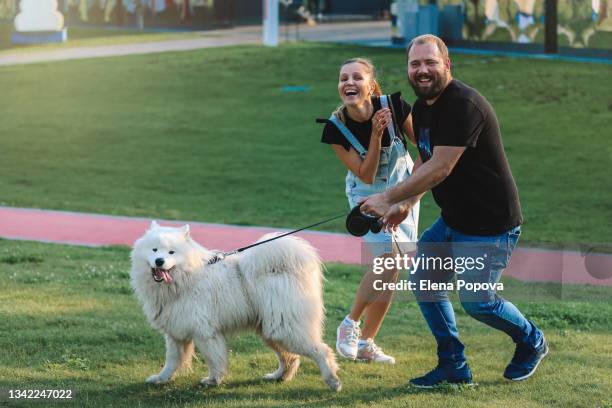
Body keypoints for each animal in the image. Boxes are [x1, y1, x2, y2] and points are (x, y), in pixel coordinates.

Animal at [130, 222, 340, 390]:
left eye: (171, 252)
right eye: (154, 250)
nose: (159, 261)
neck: (187, 279)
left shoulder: (206, 333)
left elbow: (215, 360)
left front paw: (213, 380)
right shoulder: (176, 332)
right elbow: (172, 361)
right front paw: (161, 378)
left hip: (286, 329)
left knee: (321, 351)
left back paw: (333, 381)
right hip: (271, 330)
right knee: (290, 358)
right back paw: (279, 377)